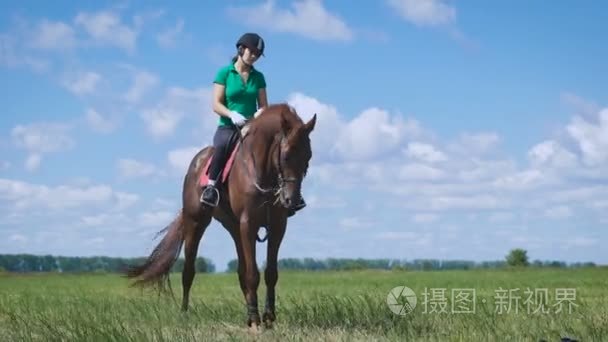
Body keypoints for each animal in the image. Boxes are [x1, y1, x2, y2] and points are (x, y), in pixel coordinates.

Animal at [127, 103, 318, 330]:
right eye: (286, 155)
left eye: (308, 157)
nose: (292, 200)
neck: (262, 173)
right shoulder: (248, 224)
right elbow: (253, 274)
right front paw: (256, 320)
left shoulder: (277, 226)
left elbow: (271, 273)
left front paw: (268, 318)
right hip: (196, 222)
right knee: (188, 271)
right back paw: (184, 314)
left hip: (233, 227)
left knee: (240, 271)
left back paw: (248, 315)